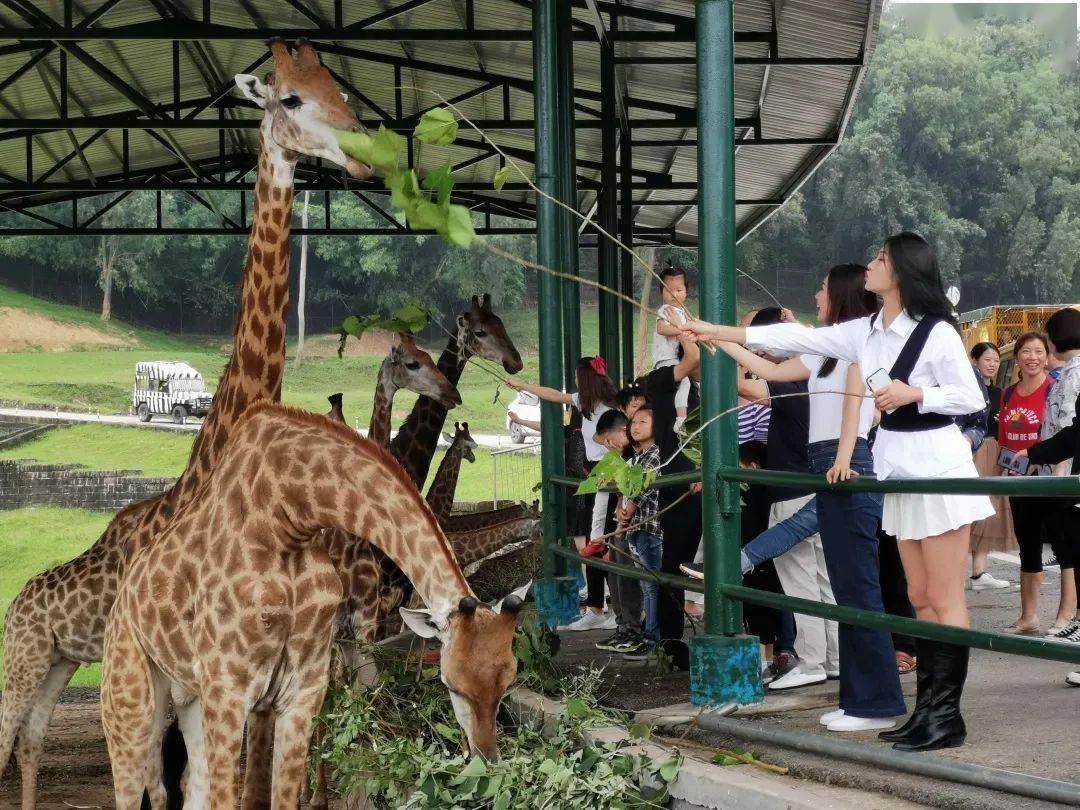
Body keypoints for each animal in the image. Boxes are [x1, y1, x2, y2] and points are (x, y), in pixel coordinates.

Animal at [101, 406, 527, 810]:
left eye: (508, 683)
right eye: (451, 685)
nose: (487, 760)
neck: (288, 517)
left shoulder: (304, 686)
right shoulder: (229, 690)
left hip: (188, 697)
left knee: (190, 785)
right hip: (131, 701)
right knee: (140, 783)